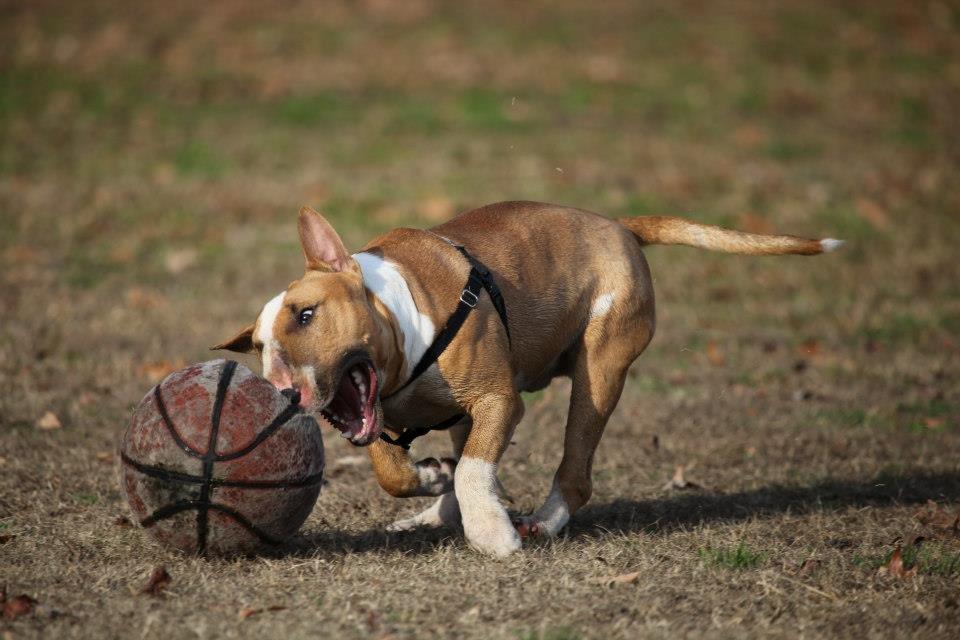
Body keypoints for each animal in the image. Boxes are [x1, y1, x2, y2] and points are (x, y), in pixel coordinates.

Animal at [212, 200, 840, 556]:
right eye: (259, 347)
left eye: (306, 315)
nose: (277, 389)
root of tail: (619, 225)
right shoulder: (386, 416)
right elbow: (395, 470)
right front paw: (431, 480)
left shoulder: (498, 401)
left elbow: (474, 471)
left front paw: (494, 537)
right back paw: (436, 507)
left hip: (599, 373)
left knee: (573, 466)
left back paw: (541, 521)